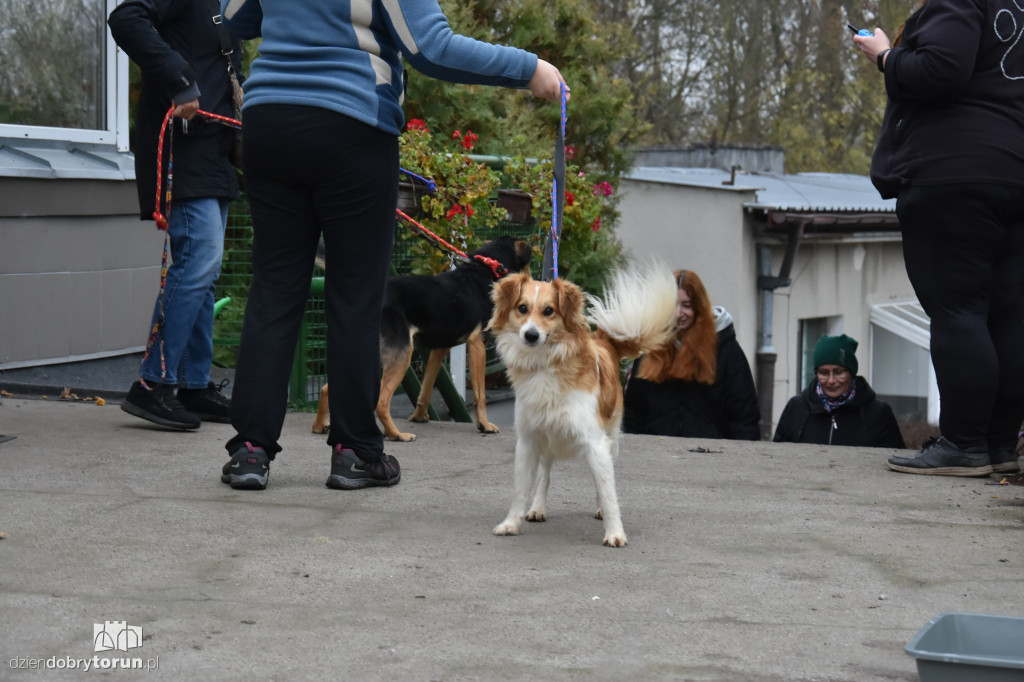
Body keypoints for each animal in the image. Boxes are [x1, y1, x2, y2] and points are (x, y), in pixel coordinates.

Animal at [309, 236, 536, 440]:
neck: (488, 269)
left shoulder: (440, 348)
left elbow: (426, 387)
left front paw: (419, 416)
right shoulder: (477, 345)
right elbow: (480, 394)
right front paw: (484, 425)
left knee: (327, 388)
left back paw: (320, 425)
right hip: (401, 354)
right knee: (381, 401)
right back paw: (396, 434)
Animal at [487, 262, 679, 544]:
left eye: (549, 311)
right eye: (522, 308)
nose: (531, 335)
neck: (545, 364)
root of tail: (606, 343)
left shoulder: (596, 443)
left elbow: (608, 492)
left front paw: (615, 533)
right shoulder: (528, 440)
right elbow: (521, 489)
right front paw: (511, 523)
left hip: (611, 437)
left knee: (603, 480)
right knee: (544, 475)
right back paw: (537, 508)